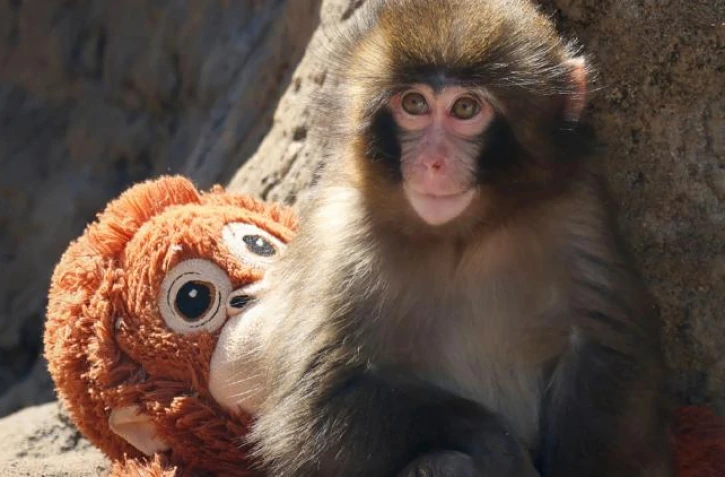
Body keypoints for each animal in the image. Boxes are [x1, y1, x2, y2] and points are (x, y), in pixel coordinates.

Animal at [211, 0, 674, 475]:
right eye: (414, 103)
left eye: (465, 108)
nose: (433, 162)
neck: (462, 236)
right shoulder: (342, 238)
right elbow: (313, 412)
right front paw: (496, 442)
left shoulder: (577, 211)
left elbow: (606, 353)